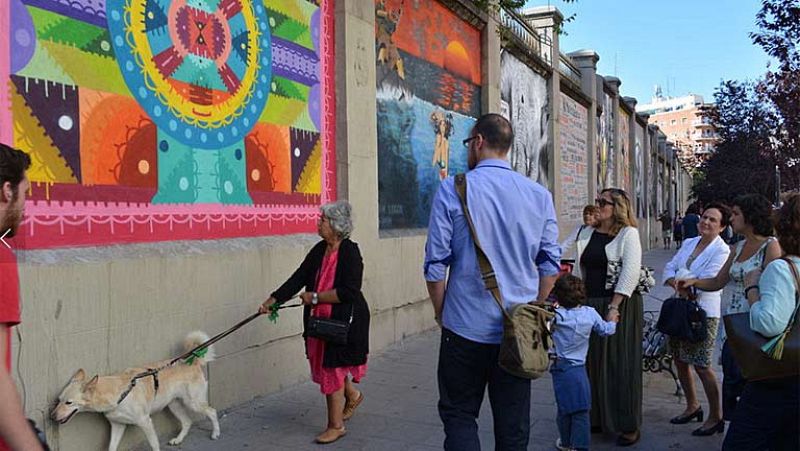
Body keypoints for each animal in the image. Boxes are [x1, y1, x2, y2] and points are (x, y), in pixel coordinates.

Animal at [51, 330, 220, 450]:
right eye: (59, 400)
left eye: (68, 402)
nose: (51, 417)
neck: (116, 393)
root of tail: (192, 362)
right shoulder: (118, 426)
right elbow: (111, 447)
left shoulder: (145, 422)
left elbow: (154, 445)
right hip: (174, 405)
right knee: (187, 421)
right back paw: (178, 439)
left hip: (193, 402)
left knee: (212, 411)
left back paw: (215, 433)